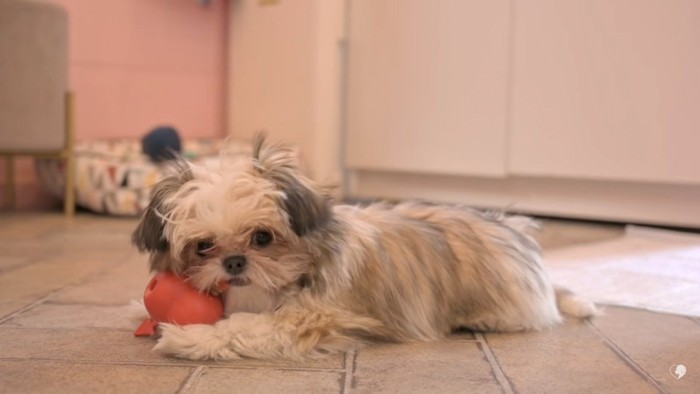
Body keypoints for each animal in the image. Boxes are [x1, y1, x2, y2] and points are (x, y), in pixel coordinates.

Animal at [131, 135, 596, 360]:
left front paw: (187, 338)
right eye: (204, 246)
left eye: (262, 237)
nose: (234, 262)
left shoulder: (308, 319)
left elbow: (243, 328)